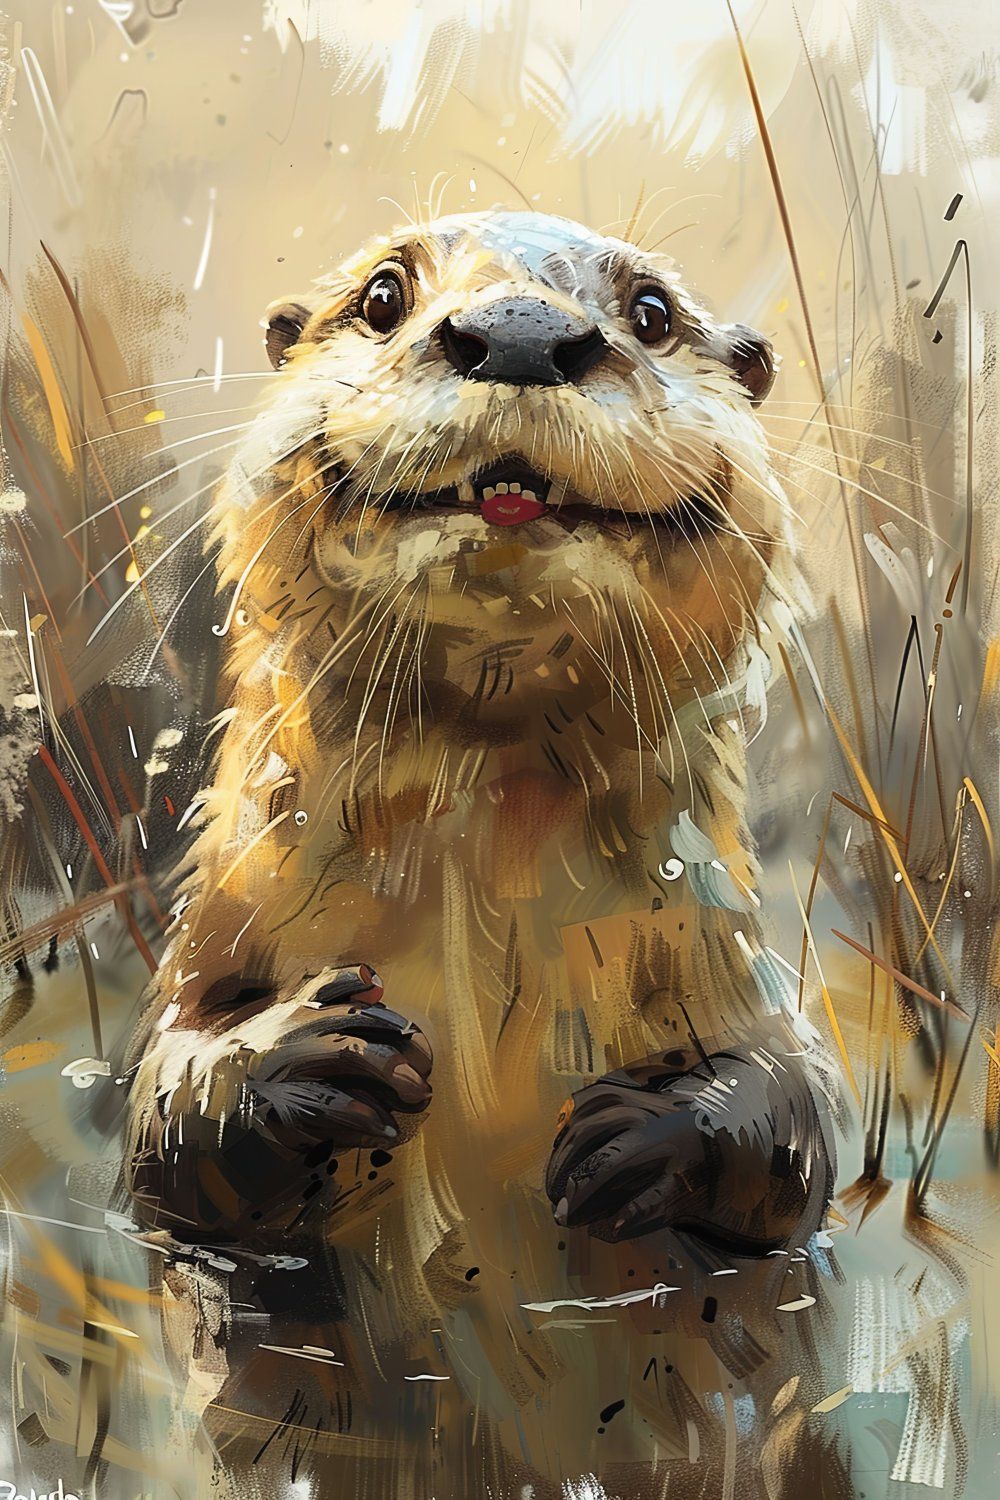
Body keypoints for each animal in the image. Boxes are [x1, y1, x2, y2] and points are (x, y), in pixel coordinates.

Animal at [120, 211, 838, 1499]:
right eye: (382, 294)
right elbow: (165, 1122)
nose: (516, 331)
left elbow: (798, 1135)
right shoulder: (209, 946)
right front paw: (315, 1058)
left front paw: (634, 1134)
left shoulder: (736, 963)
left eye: (651, 312)